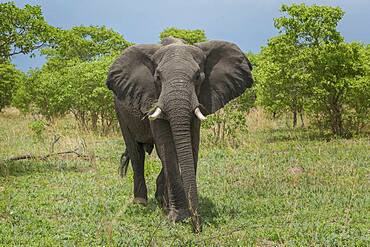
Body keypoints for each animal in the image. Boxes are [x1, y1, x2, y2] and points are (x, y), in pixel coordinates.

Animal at [105, 36, 253, 232]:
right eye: (158, 78)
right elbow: (167, 146)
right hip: (120, 112)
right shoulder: (153, 96)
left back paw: (161, 201)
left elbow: (192, 145)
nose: (197, 227)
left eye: (198, 77)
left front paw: (176, 211)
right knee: (136, 152)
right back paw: (141, 203)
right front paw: (178, 217)